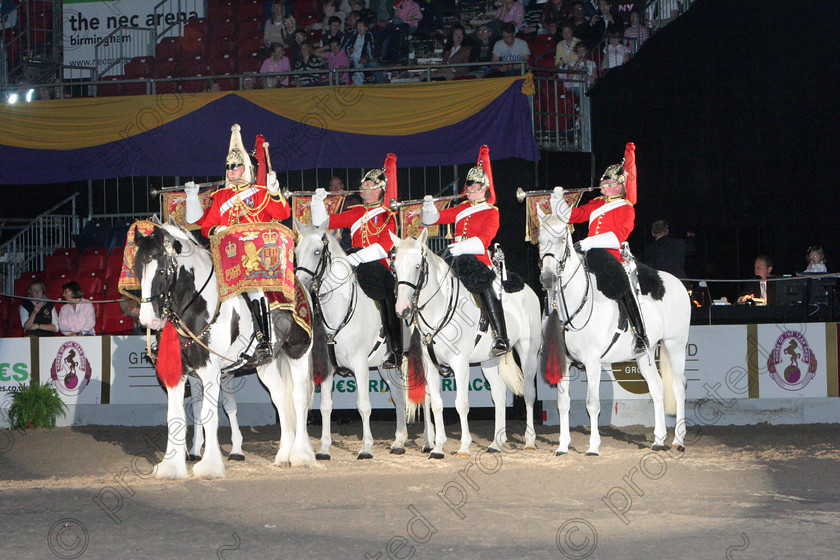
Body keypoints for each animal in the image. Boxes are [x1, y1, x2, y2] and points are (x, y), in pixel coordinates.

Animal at [135, 221, 318, 480]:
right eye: (137, 270)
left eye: (161, 271)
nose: (147, 319)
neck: (198, 305)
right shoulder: (179, 371)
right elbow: (175, 416)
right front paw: (171, 467)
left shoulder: (210, 370)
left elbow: (209, 415)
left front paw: (210, 466)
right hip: (268, 363)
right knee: (281, 399)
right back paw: (283, 455)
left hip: (298, 352)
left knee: (299, 397)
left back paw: (301, 455)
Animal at [296, 220, 414, 460]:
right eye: (296, 252)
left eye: (317, 252)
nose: (301, 284)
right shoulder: (329, 367)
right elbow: (326, 406)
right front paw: (324, 448)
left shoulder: (360, 366)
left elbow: (363, 405)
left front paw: (366, 448)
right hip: (386, 366)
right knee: (398, 397)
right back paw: (399, 442)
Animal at [390, 230, 540, 458]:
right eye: (395, 267)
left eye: (417, 266)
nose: (403, 309)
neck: (439, 309)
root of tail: (527, 290)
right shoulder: (430, 365)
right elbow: (437, 404)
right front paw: (438, 447)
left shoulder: (460, 364)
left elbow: (461, 404)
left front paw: (464, 446)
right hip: (489, 361)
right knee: (498, 393)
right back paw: (496, 443)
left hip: (528, 353)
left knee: (529, 392)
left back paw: (530, 441)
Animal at [540, 209, 688, 456]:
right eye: (539, 240)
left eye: (562, 240)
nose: (548, 278)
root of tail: (678, 283)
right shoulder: (564, 361)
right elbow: (563, 403)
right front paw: (563, 446)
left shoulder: (592, 362)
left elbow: (592, 404)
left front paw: (593, 446)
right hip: (644, 354)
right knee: (657, 388)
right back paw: (658, 440)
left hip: (675, 345)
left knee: (678, 388)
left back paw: (678, 440)